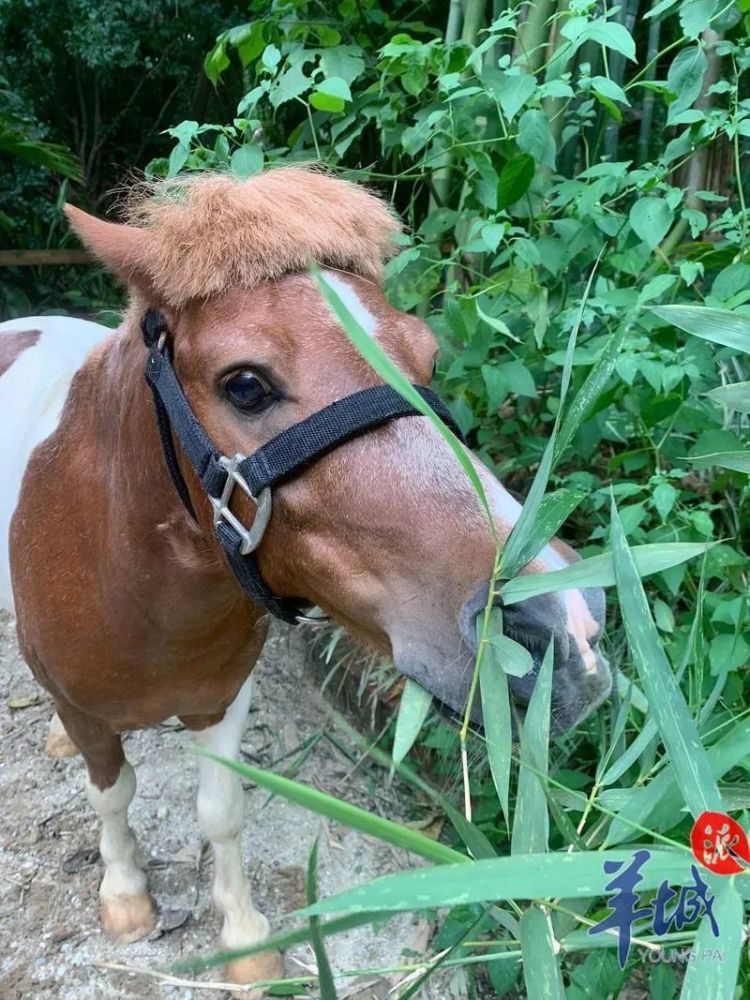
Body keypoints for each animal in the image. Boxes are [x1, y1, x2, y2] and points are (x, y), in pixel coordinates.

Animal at [0, 167, 611, 989]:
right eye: (246, 385)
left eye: (427, 358)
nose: (565, 624)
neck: (135, 589)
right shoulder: (89, 711)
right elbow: (113, 793)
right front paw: (126, 896)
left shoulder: (221, 698)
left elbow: (221, 811)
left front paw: (244, 939)